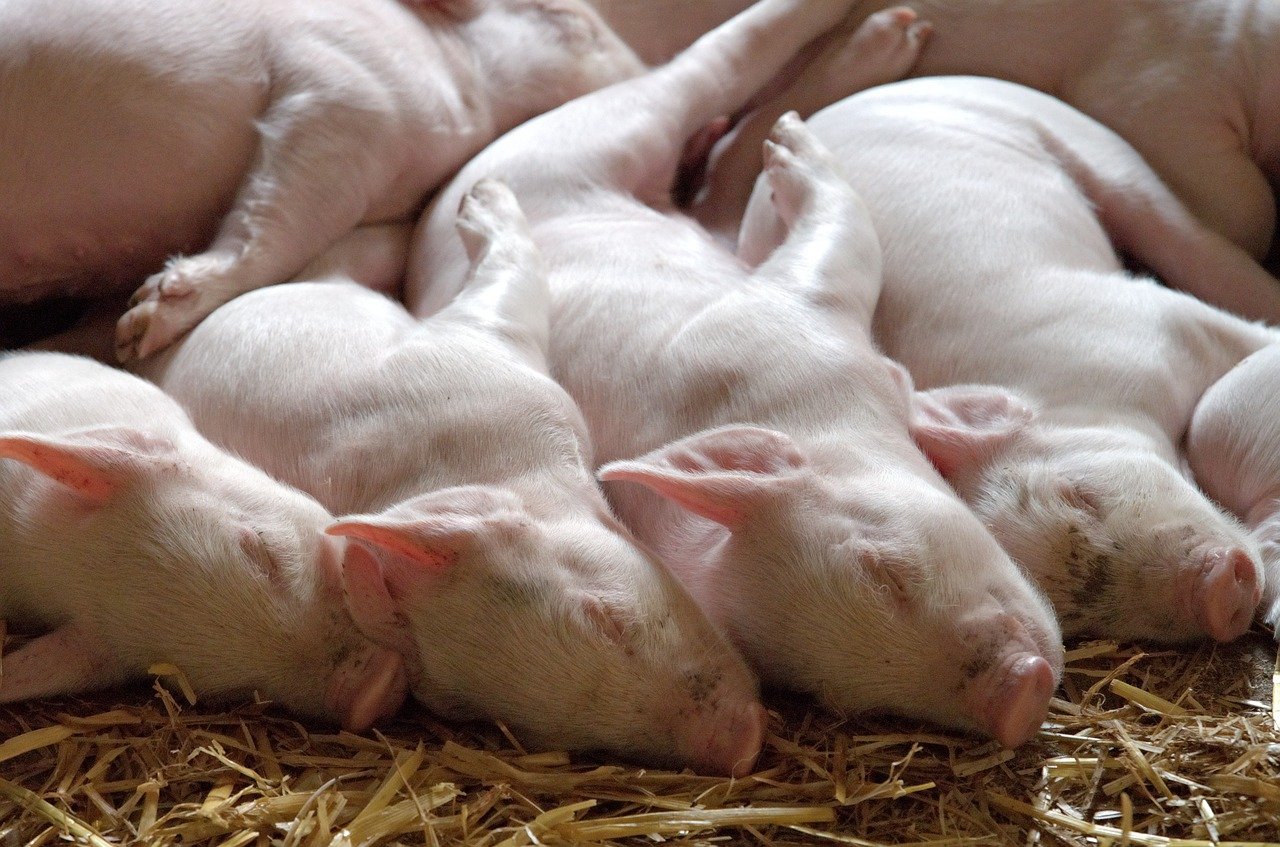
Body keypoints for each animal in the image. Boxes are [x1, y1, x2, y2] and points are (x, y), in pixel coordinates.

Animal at [0, 0, 644, 358]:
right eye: (570, 20)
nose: (646, 67)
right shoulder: (347, 93)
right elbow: (279, 215)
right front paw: (140, 327)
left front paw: (116, 332)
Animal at [135, 180, 765, 776]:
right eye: (528, 725)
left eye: (607, 618)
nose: (742, 750)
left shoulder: (482, 360)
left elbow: (510, 282)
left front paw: (484, 193)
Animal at [404, 1, 1065, 748]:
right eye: (831, 693)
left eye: (886, 569)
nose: (1020, 696)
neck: (803, 408)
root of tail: (446, 203)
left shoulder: (784, 310)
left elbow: (844, 235)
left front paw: (798, 148)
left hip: (603, 138)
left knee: (703, 87)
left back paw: (869, 57)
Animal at [715, 75, 1277, 643]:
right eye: (1091, 620)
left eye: (1078, 494)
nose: (1220, 595)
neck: (1080, 397)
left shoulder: (1152, 322)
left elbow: (1244, 333)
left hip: (1094, 147)